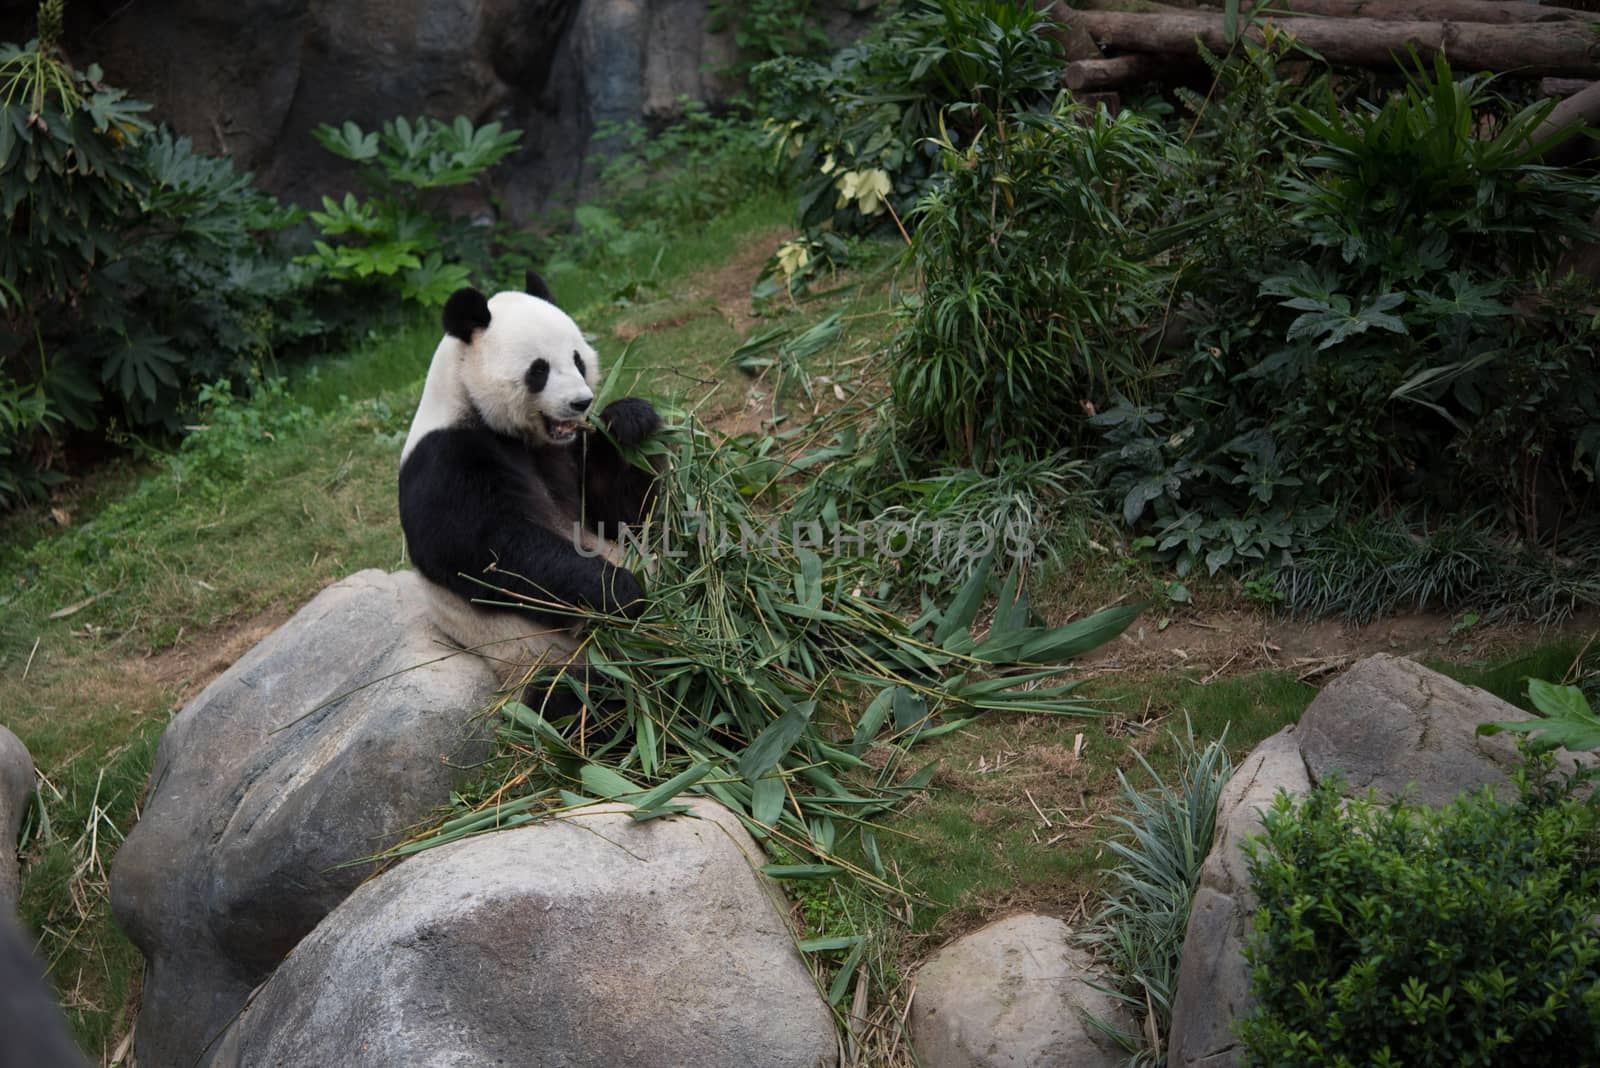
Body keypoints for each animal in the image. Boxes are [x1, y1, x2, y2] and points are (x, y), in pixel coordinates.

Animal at [400, 273, 662, 693]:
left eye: (577, 359)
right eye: (539, 370)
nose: (581, 402)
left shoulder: (567, 455)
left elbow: (620, 517)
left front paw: (629, 419)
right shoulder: (444, 464)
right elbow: (495, 551)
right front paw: (622, 591)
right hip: (537, 659)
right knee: (579, 696)